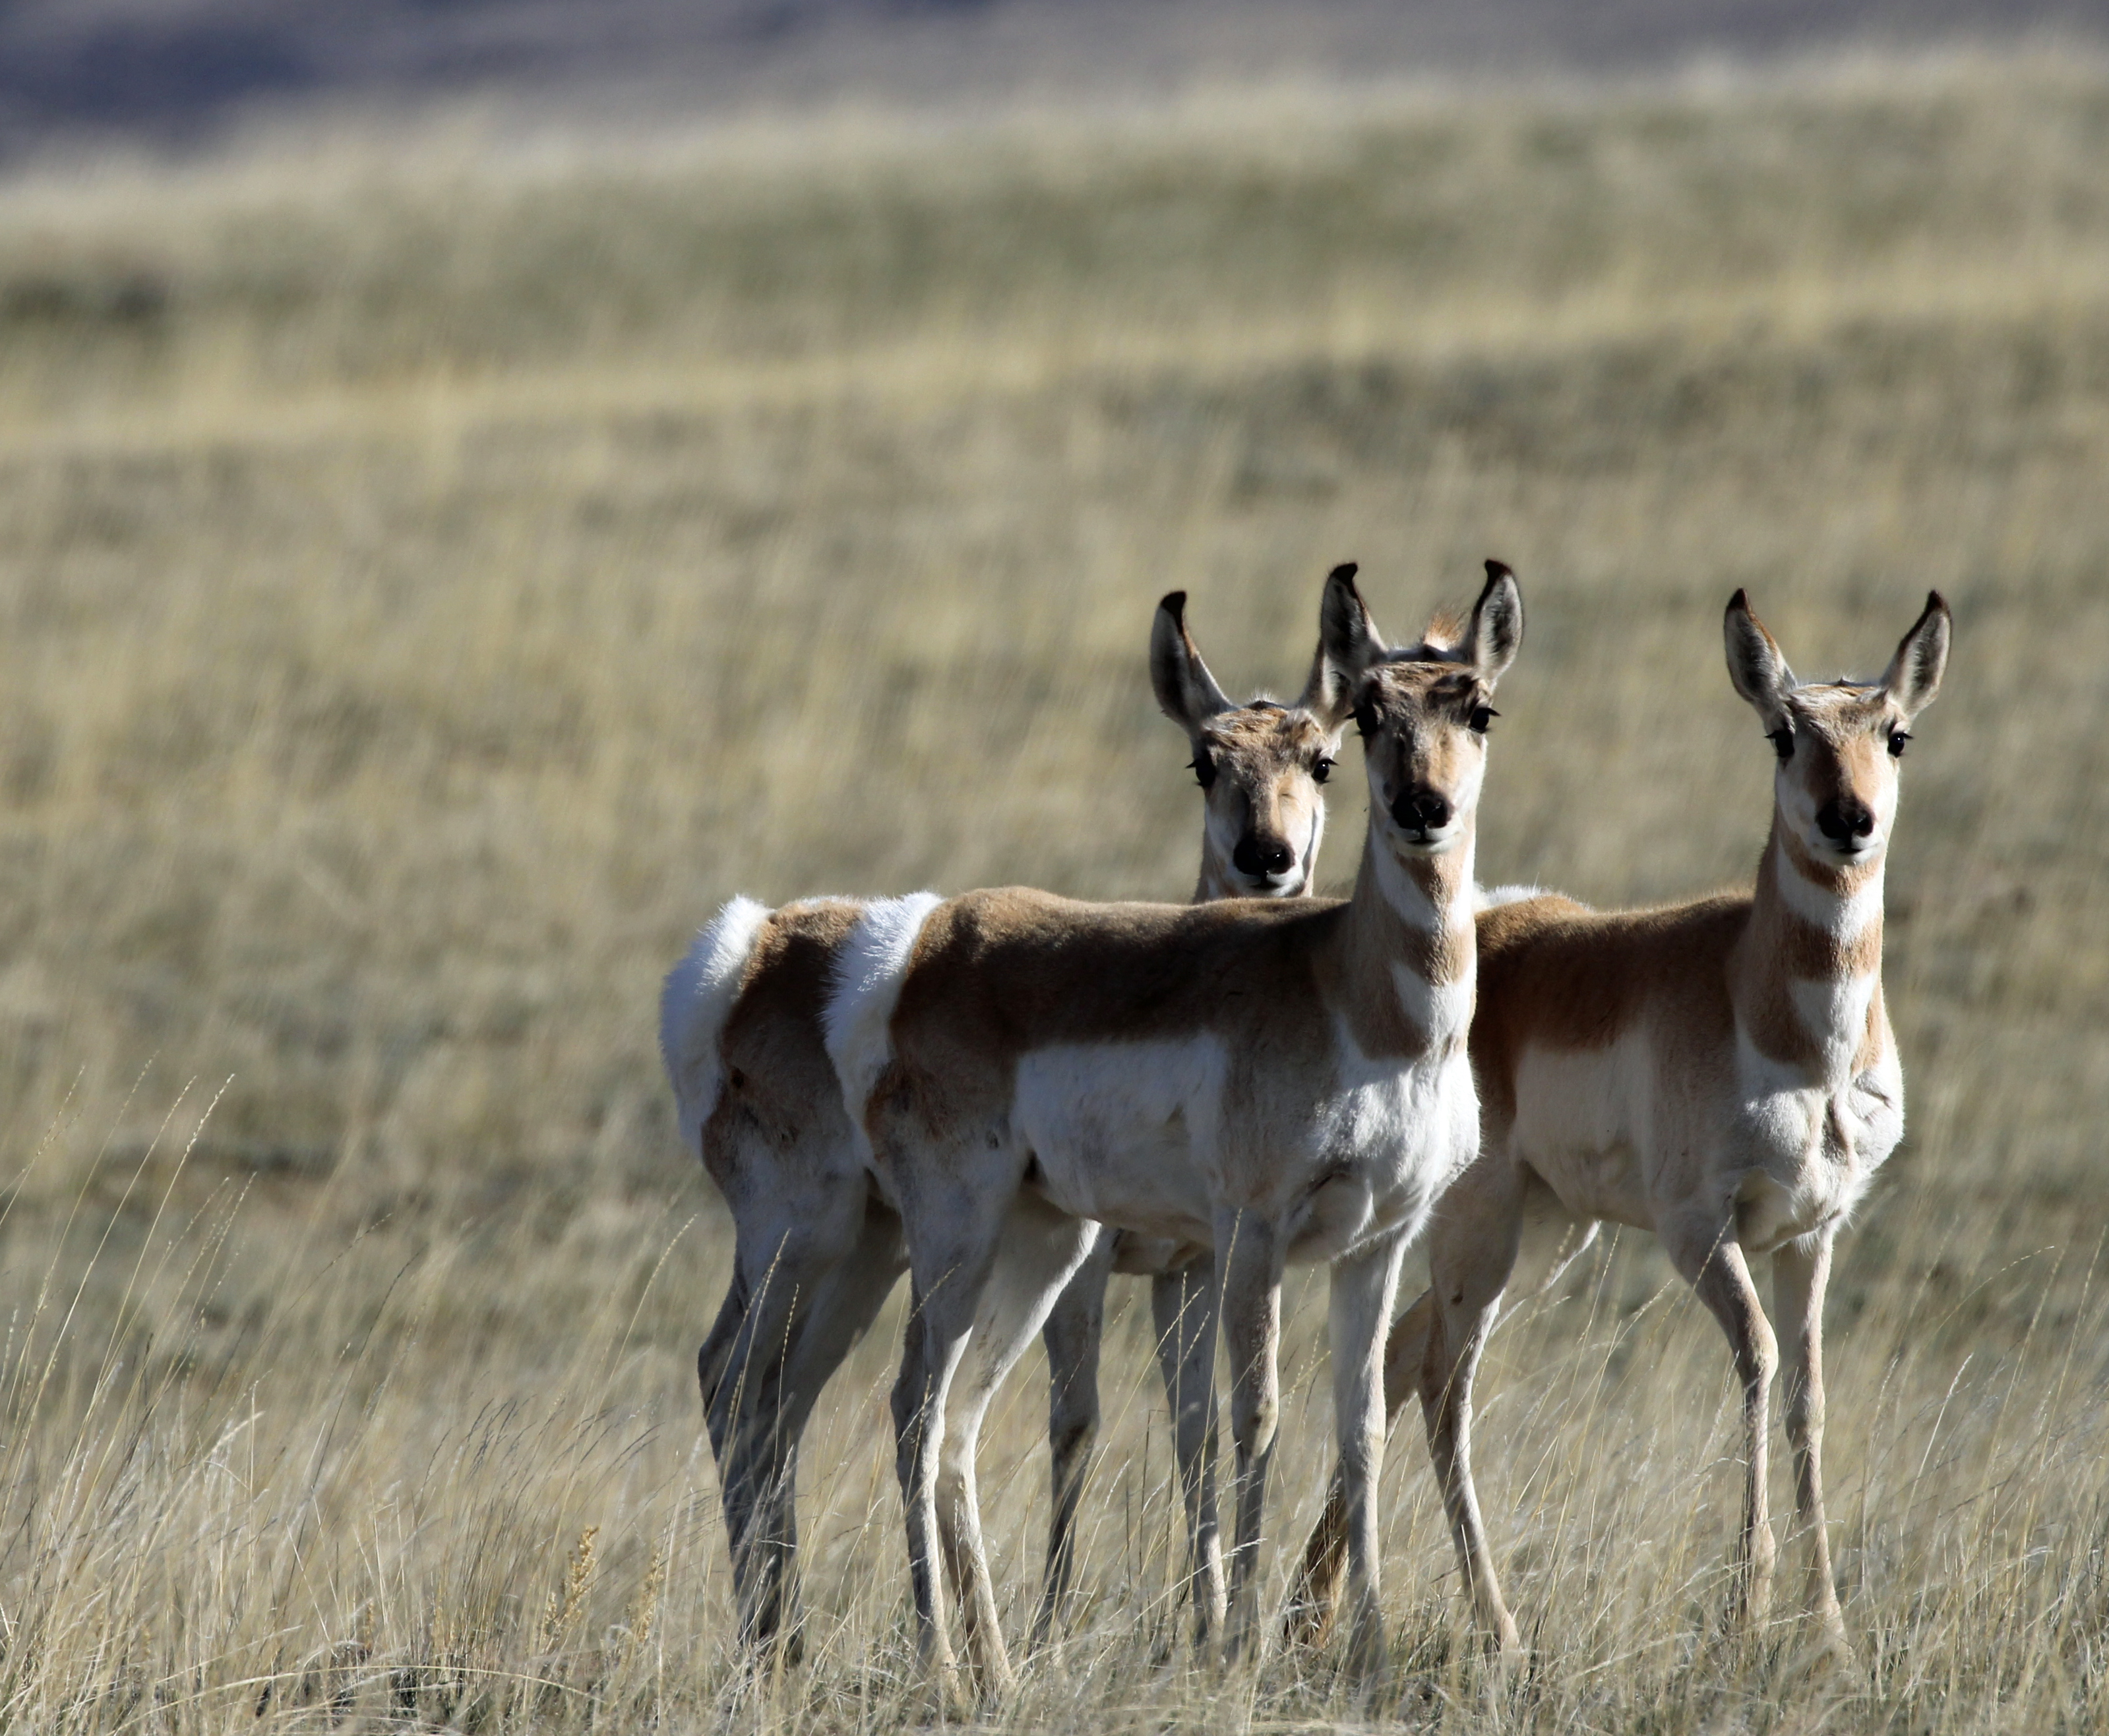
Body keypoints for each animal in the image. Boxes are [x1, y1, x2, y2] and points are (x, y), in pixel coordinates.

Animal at [657, 590, 1341, 1662]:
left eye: (1320, 759)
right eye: (1204, 759)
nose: (1266, 860)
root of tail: (753, 945)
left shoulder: (1192, 1266)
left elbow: (1191, 1427)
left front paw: (1206, 1621)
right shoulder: (1090, 1263)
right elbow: (1078, 1418)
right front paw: (1053, 1619)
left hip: (867, 1253)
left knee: (781, 1396)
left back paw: (786, 1641)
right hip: (807, 1234)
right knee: (736, 1378)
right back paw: (796, 1642)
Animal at [818, 565, 1518, 1687]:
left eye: (1478, 708)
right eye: (1370, 713)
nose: (1423, 809)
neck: (1358, 997)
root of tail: (927, 952)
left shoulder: (1376, 1243)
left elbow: (1359, 1422)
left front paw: (1364, 1644)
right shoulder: (1251, 1235)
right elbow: (1254, 1412)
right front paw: (1238, 1644)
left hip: (1042, 1247)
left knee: (961, 1421)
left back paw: (999, 1670)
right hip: (963, 1241)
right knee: (916, 1410)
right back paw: (941, 1663)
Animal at [1282, 582, 1940, 1654]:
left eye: (1894, 733)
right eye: (1782, 732)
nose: (1848, 820)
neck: (1769, 1007)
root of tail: (1497, 925)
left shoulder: (1813, 1233)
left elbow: (1807, 1395)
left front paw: (1831, 1629)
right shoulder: (1698, 1230)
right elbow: (1758, 1358)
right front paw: (1749, 1603)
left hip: (1549, 1233)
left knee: (1401, 1356)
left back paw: (1313, 1607)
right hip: (1483, 1233)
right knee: (1441, 1380)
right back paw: (1495, 1626)